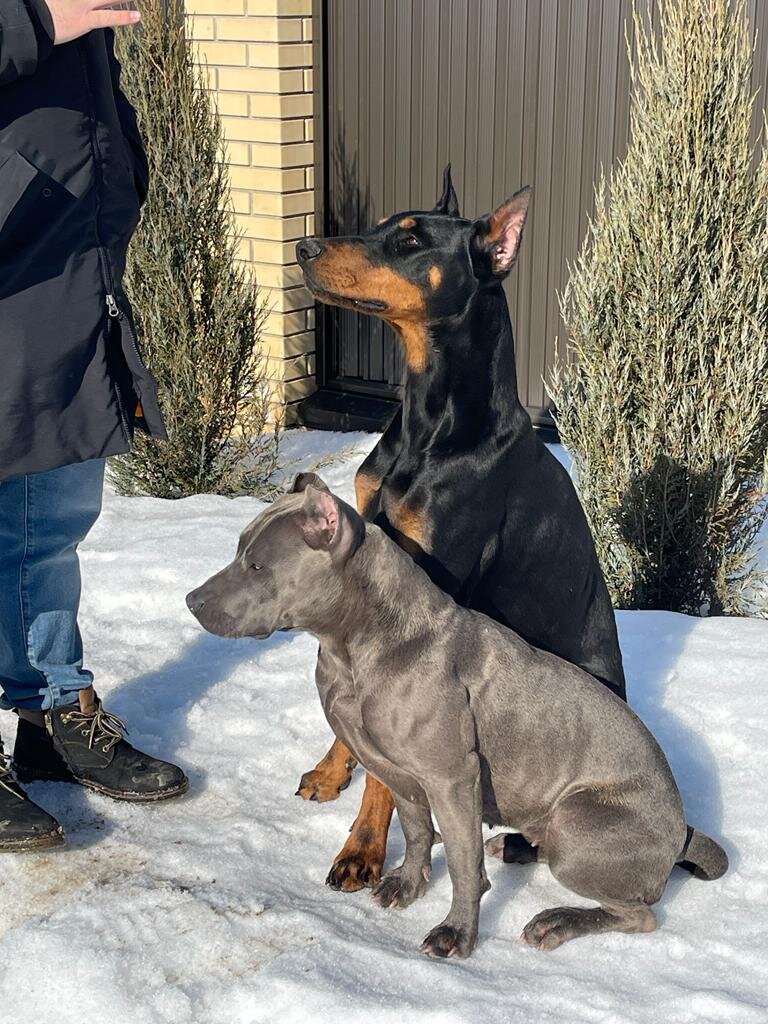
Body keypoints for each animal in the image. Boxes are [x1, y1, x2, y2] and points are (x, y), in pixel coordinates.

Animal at [186, 475, 729, 954]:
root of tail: (680, 832)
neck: (354, 647)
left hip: (577, 824)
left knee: (639, 913)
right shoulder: (397, 772)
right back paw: (515, 847)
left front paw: (456, 934)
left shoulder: (451, 778)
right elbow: (416, 831)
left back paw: (557, 921)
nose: (191, 600)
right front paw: (407, 885)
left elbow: (465, 868)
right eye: (239, 551)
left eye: (257, 566)